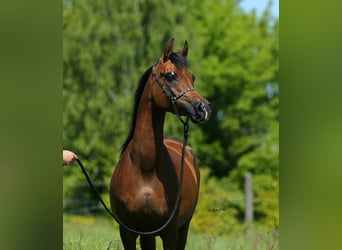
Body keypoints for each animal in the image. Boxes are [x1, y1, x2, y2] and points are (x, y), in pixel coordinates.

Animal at [109, 38, 211, 250]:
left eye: (193, 77)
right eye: (171, 75)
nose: (204, 108)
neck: (145, 169)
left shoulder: (169, 232)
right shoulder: (127, 232)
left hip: (183, 228)